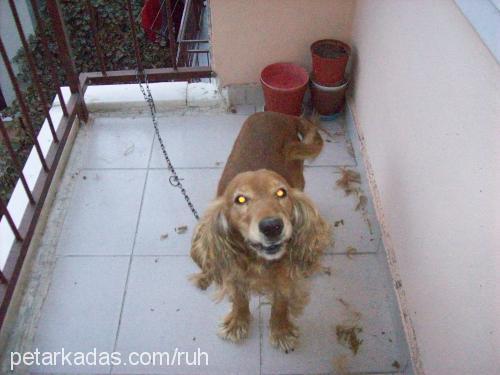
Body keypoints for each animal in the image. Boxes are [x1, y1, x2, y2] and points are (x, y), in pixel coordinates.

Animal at [189, 111, 330, 352]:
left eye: (281, 193)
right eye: (240, 199)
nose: (272, 226)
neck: (258, 261)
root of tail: (281, 114)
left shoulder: (284, 275)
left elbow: (281, 302)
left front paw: (281, 330)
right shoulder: (234, 268)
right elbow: (239, 297)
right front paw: (238, 322)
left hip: (299, 174)